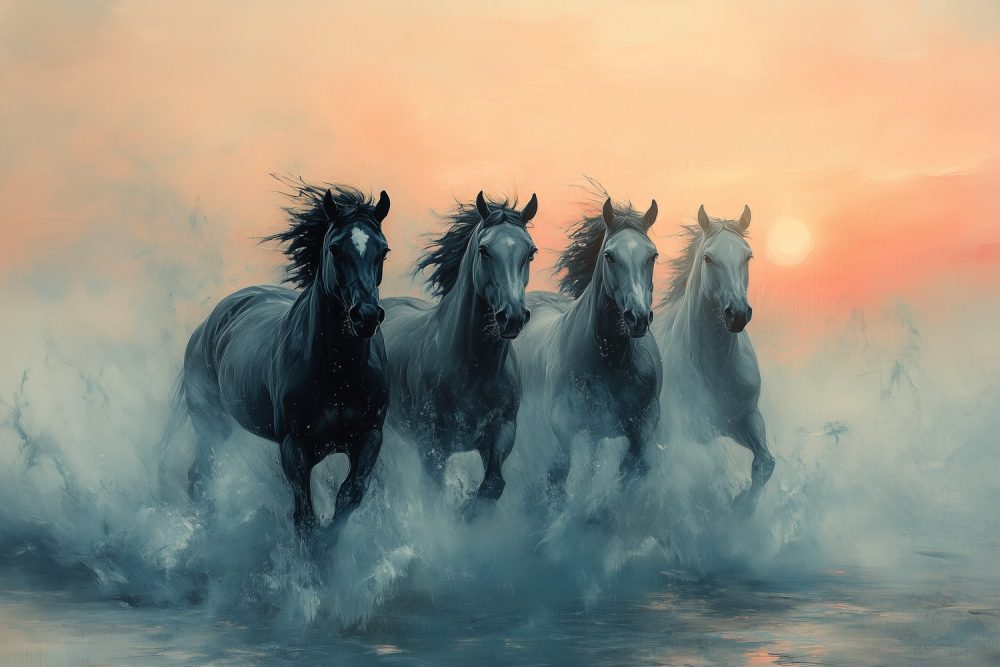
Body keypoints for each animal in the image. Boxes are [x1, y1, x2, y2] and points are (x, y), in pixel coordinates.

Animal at [179, 178, 392, 532]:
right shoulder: (295, 448)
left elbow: (348, 496)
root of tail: (210, 323)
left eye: (383, 251)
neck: (339, 372)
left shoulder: (369, 438)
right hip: (210, 424)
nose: (366, 316)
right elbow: (304, 517)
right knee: (199, 475)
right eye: (335, 249)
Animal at [381, 191, 538, 505]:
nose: (512, 316)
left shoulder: (502, 433)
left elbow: (493, 485)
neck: (475, 369)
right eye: (485, 250)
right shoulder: (432, 446)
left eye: (530, 252)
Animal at [514, 193, 661, 496]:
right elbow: (578, 486)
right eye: (610, 256)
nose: (638, 317)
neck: (611, 362)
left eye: (652, 255)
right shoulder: (578, 434)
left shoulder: (643, 430)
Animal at [652, 204, 775, 513]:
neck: (717, 368)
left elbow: (765, 464)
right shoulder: (692, 433)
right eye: (708, 258)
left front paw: (743, 507)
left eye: (747, 256)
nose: (738, 313)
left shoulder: (747, 418)